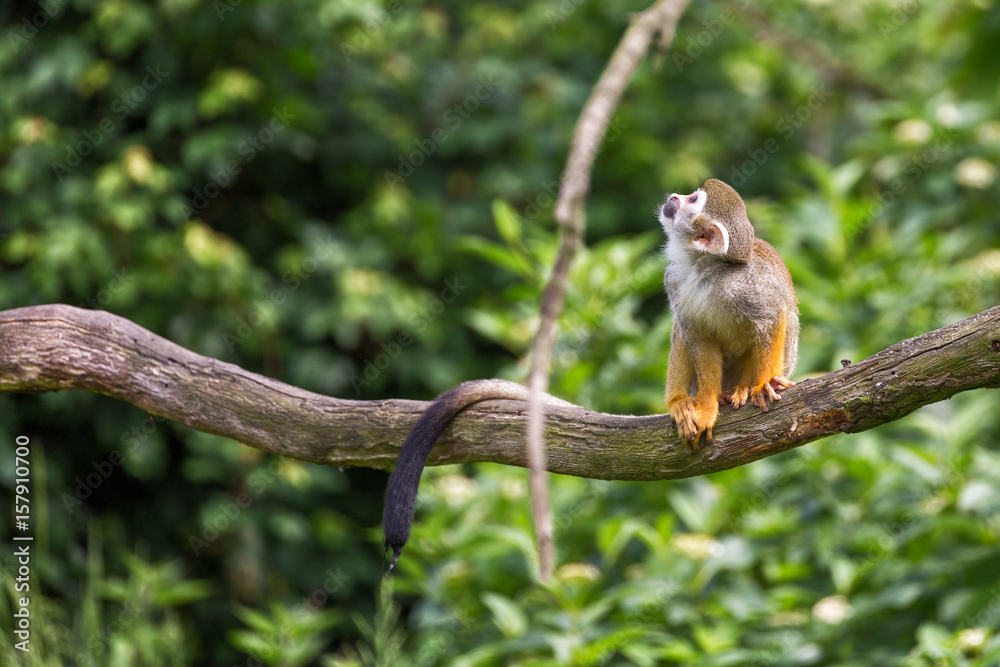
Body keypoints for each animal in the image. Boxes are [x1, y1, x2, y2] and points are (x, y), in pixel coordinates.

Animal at [659, 178, 798, 450]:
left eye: (692, 199)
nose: (673, 197)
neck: (700, 267)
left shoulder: (741, 283)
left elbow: (774, 314)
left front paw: (764, 384)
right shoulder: (672, 279)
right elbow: (698, 337)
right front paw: (706, 405)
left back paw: (744, 386)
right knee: (681, 330)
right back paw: (679, 401)